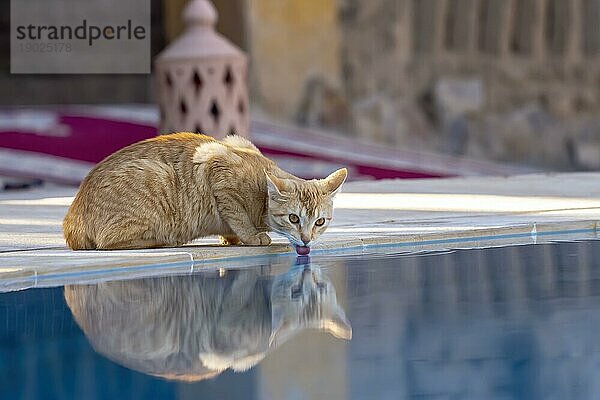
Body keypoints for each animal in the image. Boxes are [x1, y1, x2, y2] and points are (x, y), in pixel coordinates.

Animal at [62, 134, 346, 253]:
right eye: (293, 218)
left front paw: (231, 238)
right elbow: (238, 216)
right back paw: (162, 240)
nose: (307, 239)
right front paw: (251, 236)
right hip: (157, 176)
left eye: (320, 222)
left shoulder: (235, 139)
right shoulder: (214, 161)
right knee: (109, 242)